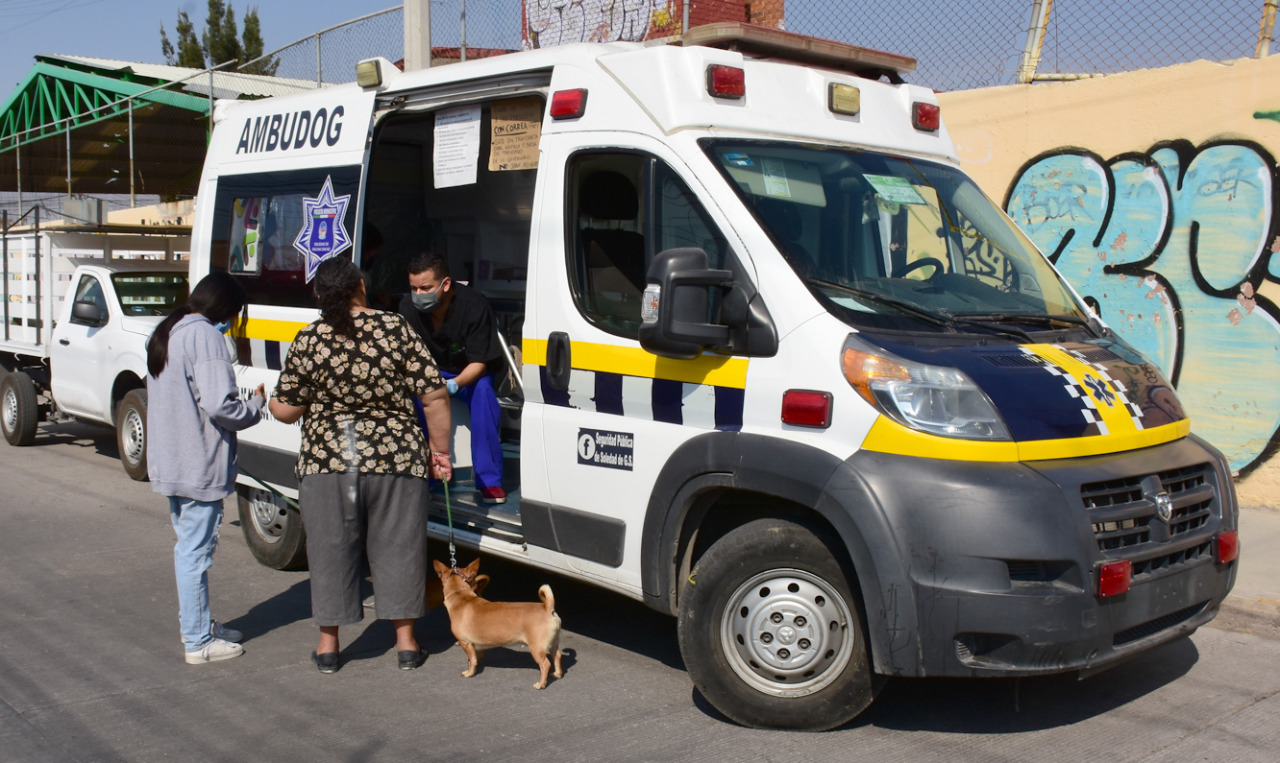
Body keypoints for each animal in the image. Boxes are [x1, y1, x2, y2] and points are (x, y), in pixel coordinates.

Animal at [432, 558, 563, 686]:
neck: (460, 595)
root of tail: (547, 607)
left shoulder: (466, 643)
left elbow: (472, 659)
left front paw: (469, 672)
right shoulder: (476, 646)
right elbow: (475, 659)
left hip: (537, 648)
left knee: (545, 664)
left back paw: (541, 684)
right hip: (553, 643)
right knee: (557, 656)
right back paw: (557, 674)